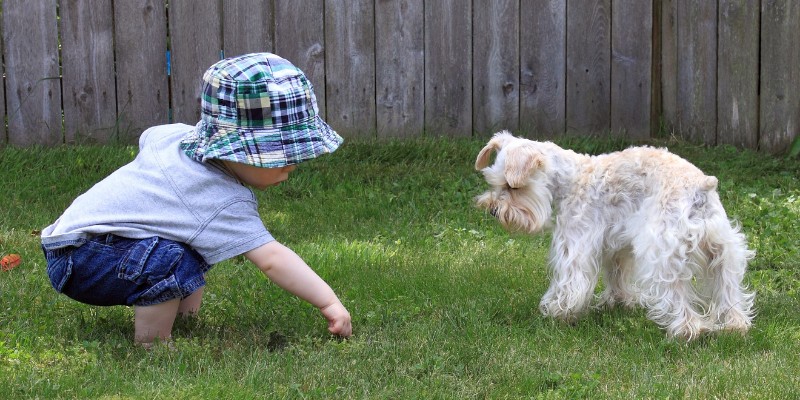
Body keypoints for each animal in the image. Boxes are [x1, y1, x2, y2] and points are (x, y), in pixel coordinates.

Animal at [476, 132, 756, 340]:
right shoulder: (617, 245)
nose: (493, 210)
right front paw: (618, 302)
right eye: (493, 182)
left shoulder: (575, 243)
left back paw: (686, 331)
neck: (570, 179)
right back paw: (734, 326)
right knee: (728, 291)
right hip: (724, 252)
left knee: (678, 297)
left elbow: (569, 283)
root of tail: (701, 187)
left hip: (663, 257)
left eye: (512, 186)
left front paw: (557, 312)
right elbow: (616, 275)